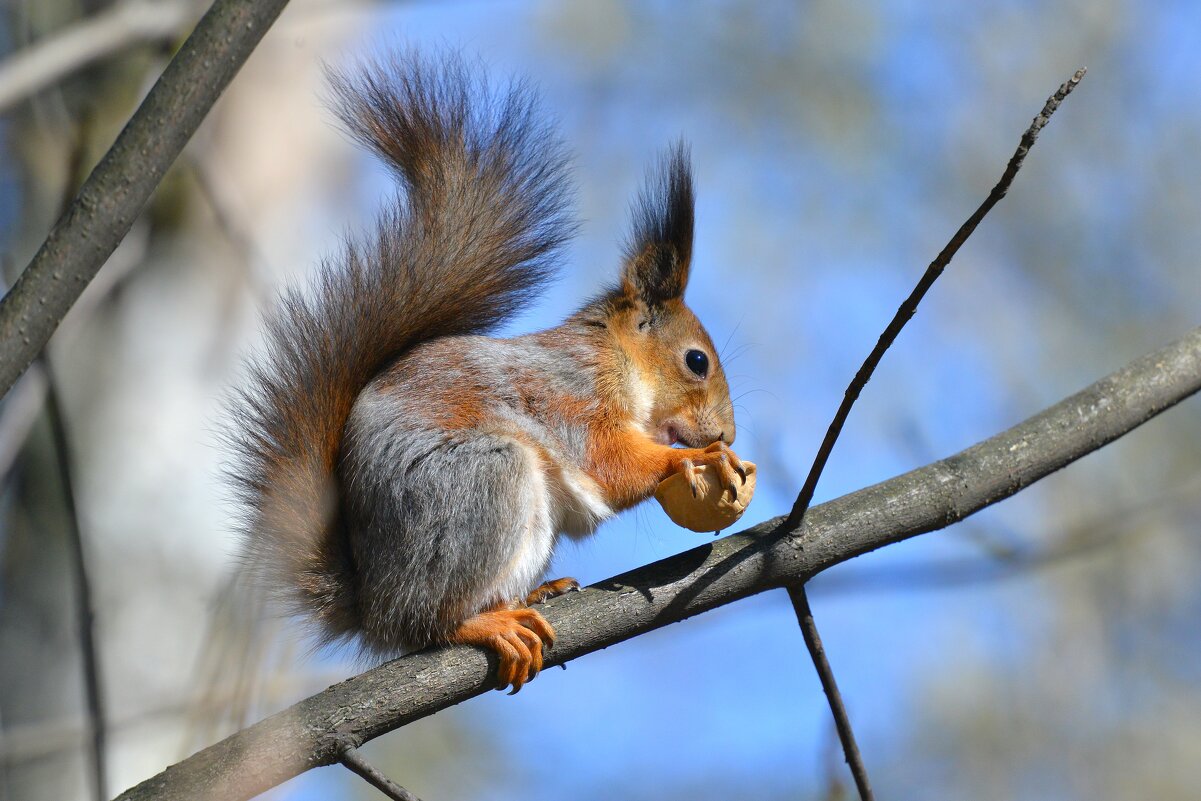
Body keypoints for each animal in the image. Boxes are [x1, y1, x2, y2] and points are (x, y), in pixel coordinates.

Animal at [229, 53, 746, 693]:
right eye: (697, 361)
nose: (726, 433)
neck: (618, 363)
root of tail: (373, 606)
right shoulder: (568, 397)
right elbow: (610, 463)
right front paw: (691, 459)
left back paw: (534, 595)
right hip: (477, 485)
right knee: (427, 624)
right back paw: (480, 624)